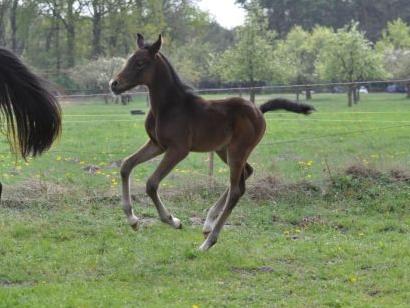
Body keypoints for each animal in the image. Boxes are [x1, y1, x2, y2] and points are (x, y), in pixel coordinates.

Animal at [109, 33, 314, 250]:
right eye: (128, 60)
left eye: (140, 63)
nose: (114, 84)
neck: (169, 106)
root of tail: (258, 110)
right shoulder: (157, 145)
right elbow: (126, 166)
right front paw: (132, 220)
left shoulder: (178, 150)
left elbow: (151, 184)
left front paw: (173, 220)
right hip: (224, 150)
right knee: (246, 174)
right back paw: (208, 223)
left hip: (237, 151)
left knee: (236, 190)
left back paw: (208, 242)